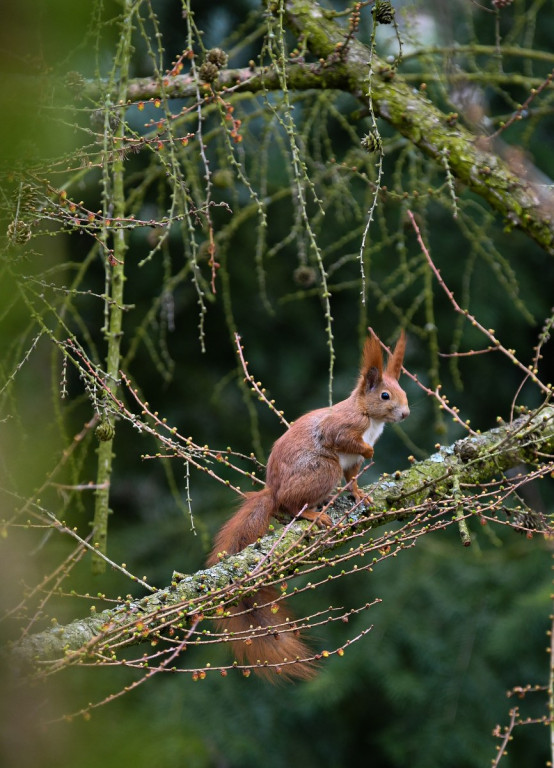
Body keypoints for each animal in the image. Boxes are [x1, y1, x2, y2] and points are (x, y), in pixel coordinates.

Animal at [205, 328, 408, 680]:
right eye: (385, 396)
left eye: (404, 392)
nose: (406, 413)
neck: (370, 421)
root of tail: (273, 491)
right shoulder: (342, 429)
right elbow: (343, 439)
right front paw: (369, 452)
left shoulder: (352, 464)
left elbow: (353, 479)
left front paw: (361, 494)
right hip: (323, 469)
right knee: (289, 506)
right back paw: (313, 514)